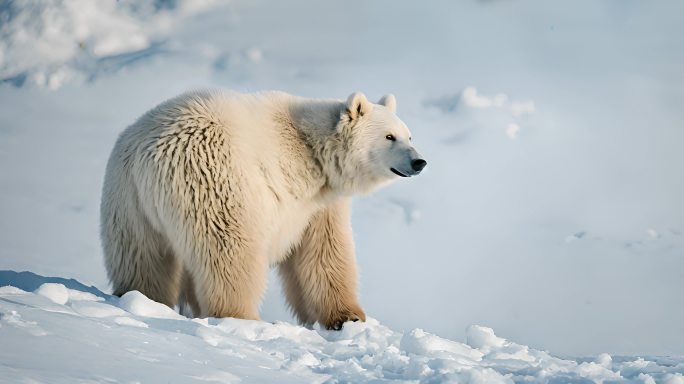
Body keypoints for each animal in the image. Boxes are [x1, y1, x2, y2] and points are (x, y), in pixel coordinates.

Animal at [101, 90, 424, 330]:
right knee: (230, 254)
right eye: (389, 137)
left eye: (409, 135)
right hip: (214, 180)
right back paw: (243, 317)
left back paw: (144, 301)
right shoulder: (305, 193)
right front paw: (349, 317)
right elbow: (324, 250)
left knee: (143, 260)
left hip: (128, 202)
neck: (313, 148)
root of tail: (150, 157)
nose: (419, 162)